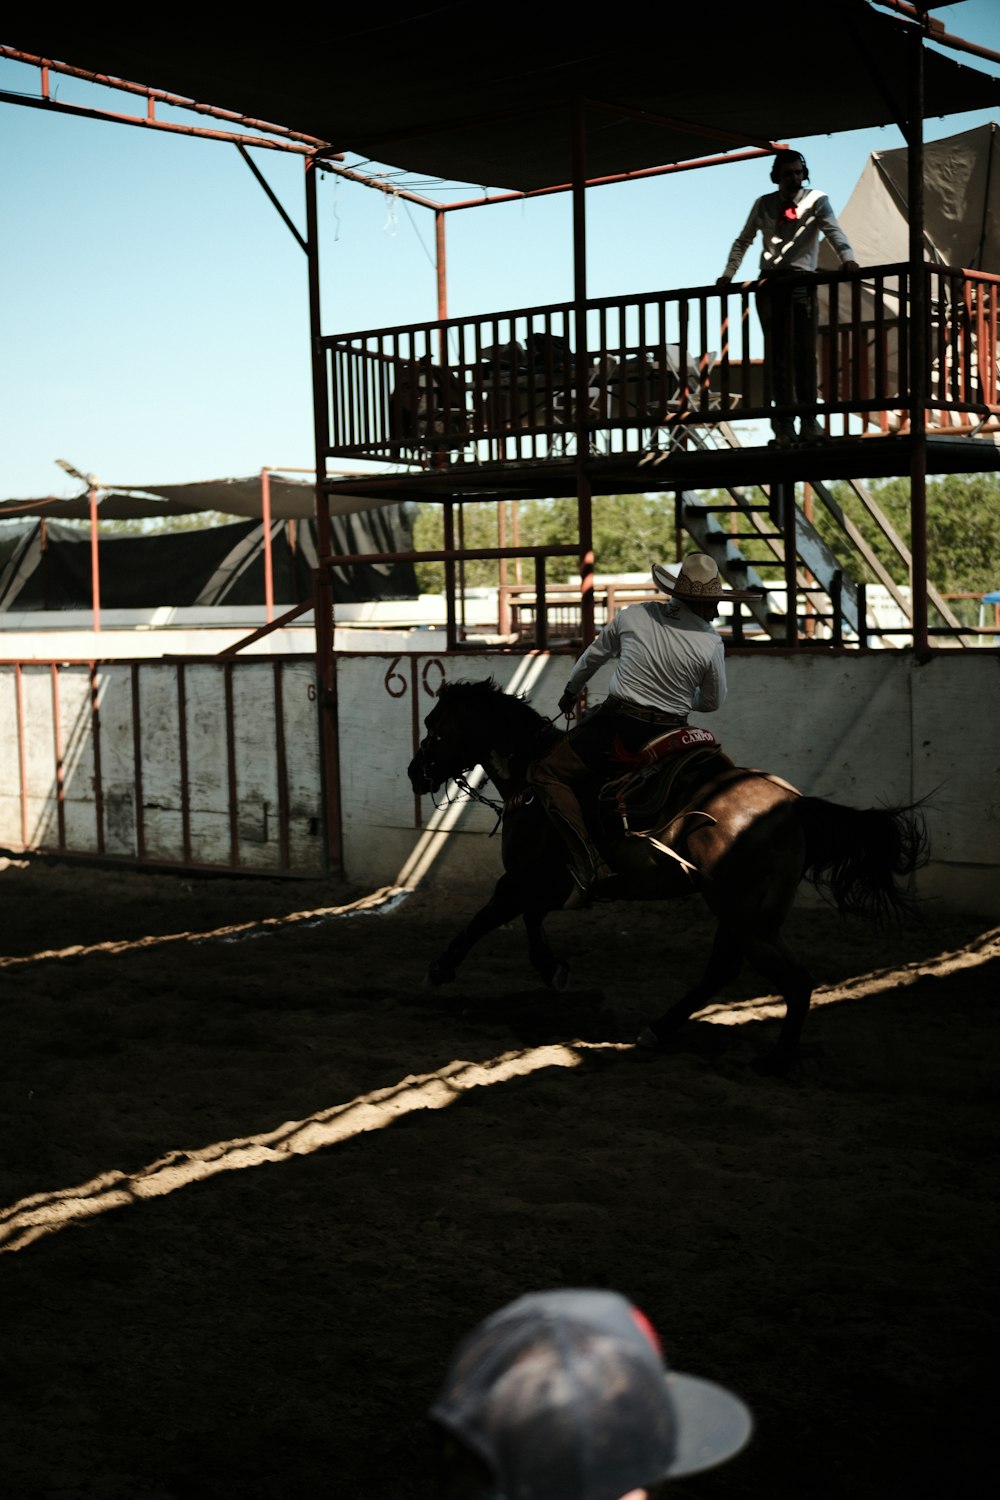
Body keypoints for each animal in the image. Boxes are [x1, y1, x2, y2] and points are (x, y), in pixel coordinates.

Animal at [407, 675, 929, 1074]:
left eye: (433, 727)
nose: (415, 773)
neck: (531, 782)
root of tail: (795, 806)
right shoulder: (550, 886)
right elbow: (529, 921)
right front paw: (553, 969)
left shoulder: (528, 878)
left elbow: (488, 916)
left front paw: (439, 969)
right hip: (742, 915)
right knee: (726, 970)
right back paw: (658, 1030)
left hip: (748, 918)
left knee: (792, 981)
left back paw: (773, 1061)